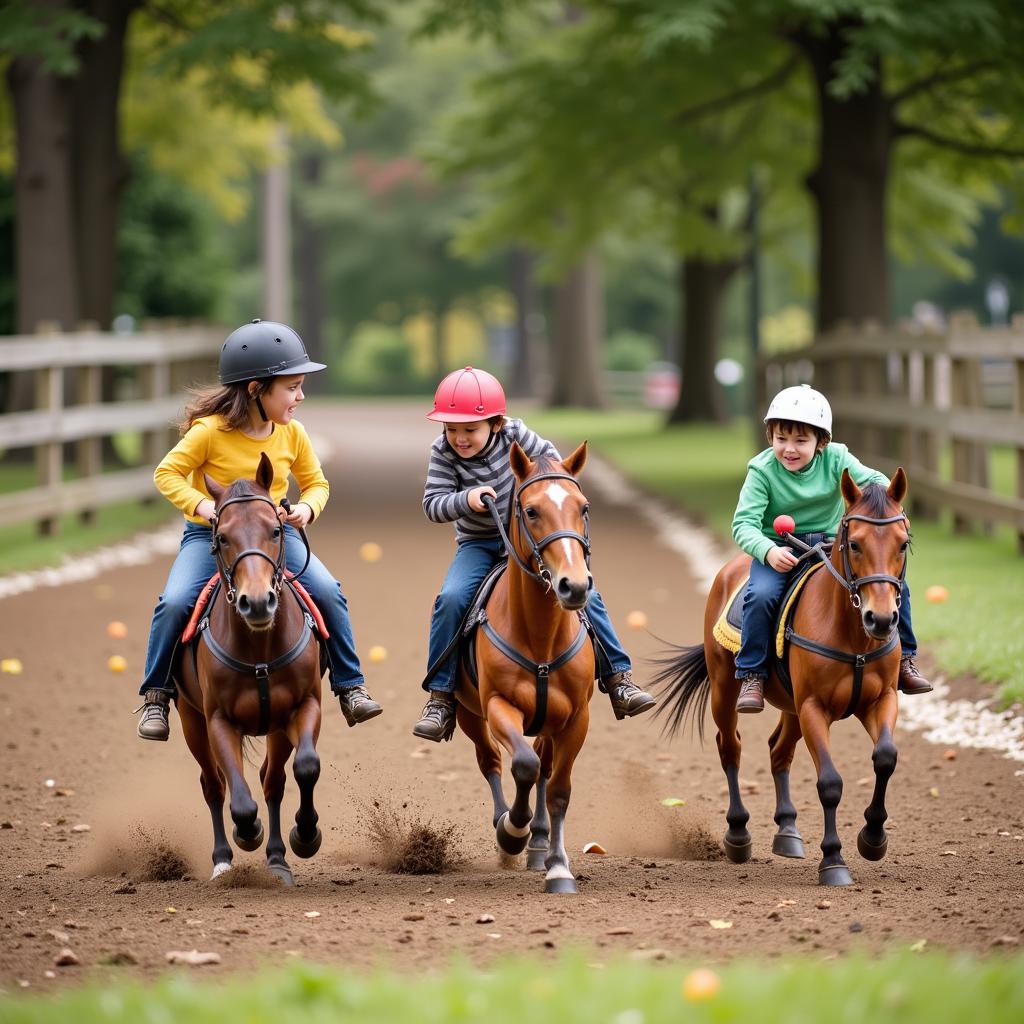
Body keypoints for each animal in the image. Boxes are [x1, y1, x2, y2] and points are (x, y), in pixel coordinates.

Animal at [174, 452, 321, 884]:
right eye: (222, 537)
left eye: (276, 529)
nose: (256, 603)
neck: (259, 650)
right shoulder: (217, 720)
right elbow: (238, 798)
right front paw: (247, 831)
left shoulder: (302, 707)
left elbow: (305, 767)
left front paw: (305, 835)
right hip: (189, 720)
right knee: (213, 785)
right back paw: (223, 859)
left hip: (274, 728)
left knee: (271, 781)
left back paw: (277, 858)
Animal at [454, 444, 593, 892]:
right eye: (531, 511)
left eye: (583, 507)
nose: (575, 585)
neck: (541, 636)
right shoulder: (499, 704)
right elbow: (522, 765)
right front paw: (511, 831)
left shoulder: (576, 718)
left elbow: (559, 788)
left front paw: (558, 867)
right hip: (467, 713)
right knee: (493, 761)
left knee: (545, 769)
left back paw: (540, 843)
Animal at [651, 468, 909, 884]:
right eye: (854, 544)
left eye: (903, 544)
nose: (882, 619)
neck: (852, 635)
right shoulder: (813, 707)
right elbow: (830, 783)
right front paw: (833, 860)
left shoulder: (880, 699)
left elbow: (885, 757)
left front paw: (873, 837)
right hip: (725, 692)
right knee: (731, 747)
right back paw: (738, 834)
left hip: (791, 708)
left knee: (778, 751)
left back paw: (788, 831)